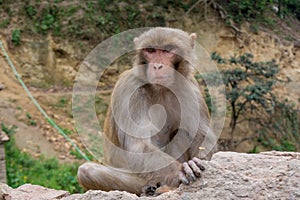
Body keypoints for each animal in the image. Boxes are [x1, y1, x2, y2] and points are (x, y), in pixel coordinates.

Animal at [77, 27, 217, 196]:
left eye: (167, 50)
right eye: (150, 50)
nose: (157, 66)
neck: (161, 89)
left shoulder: (190, 88)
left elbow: (202, 137)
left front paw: (196, 162)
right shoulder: (131, 88)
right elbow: (138, 146)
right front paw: (181, 170)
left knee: (183, 132)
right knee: (87, 171)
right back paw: (151, 188)